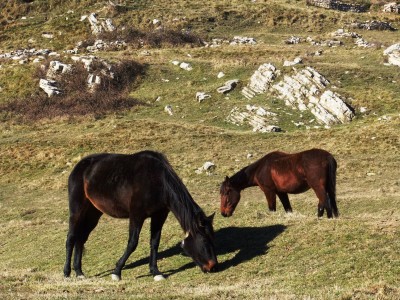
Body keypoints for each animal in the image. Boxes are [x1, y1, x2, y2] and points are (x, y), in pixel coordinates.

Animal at [63, 150, 217, 282]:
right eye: (204, 239)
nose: (213, 266)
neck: (156, 180)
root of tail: (80, 166)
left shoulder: (159, 216)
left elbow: (154, 243)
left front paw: (156, 272)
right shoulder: (136, 216)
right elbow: (132, 243)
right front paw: (116, 272)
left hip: (93, 213)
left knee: (81, 239)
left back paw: (79, 272)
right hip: (77, 210)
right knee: (71, 238)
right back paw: (67, 272)